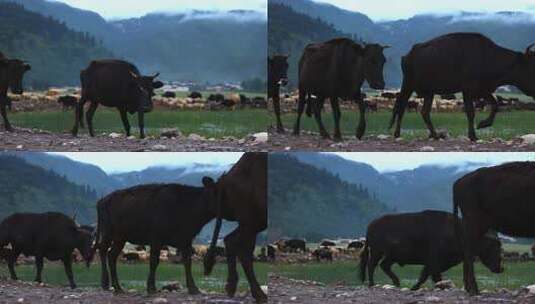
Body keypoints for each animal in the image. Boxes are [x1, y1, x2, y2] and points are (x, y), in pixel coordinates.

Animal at [203, 153, 268, 302]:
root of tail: (227, 177)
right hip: (251, 218)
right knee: (243, 250)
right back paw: (259, 294)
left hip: (252, 221)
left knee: (230, 240)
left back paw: (231, 287)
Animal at [360, 210, 502, 290]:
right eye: (493, 245)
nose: (500, 268)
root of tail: (370, 226)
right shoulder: (433, 263)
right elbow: (428, 276)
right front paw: (415, 288)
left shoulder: (434, 265)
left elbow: (431, 277)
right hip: (377, 252)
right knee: (372, 265)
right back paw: (372, 284)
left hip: (390, 256)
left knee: (384, 265)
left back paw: (397, 282)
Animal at [392, 33, 535, 141]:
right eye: (530, 67)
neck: (487, 56)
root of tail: (408, 54)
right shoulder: (468, 91)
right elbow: (471, 112)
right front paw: (473, 135)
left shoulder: (482, 90)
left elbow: (495, 105)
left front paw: (482, 124)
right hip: (408, 86)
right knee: (401, 106)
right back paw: (397, 134)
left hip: (429, 92)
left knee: (424, 112)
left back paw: (435, 135)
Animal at [454, 162, 535, 294]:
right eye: (496, 247)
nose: (501, 268)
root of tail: (459, 182)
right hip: (475, 224)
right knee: (469, 251)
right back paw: (474, 289)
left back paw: (468, 288)